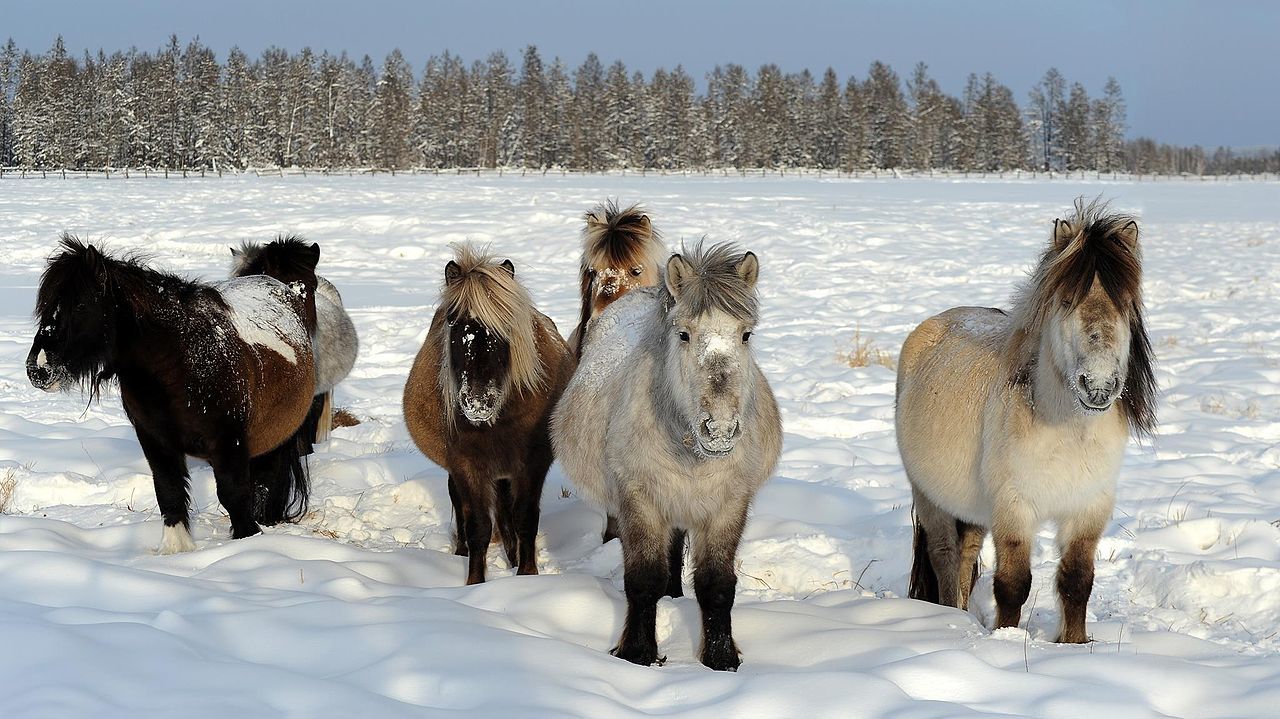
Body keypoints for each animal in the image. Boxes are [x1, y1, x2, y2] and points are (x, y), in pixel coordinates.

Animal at [26, 234, 318, 547]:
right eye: (45, 304)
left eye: (80, 305)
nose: (37, 369)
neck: (181, 363)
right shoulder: (155, 439)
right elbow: (169, 491)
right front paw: (177, 550)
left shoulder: (229, 442)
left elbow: (234, 494)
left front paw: (248, 541)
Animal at [404, 240, 576, 583]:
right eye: (452, 321)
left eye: (506, 326)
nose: (477, 401)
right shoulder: (466, 466)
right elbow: (478, 527)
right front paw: (474, 583)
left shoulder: (531, 463)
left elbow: (524, 519)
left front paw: (526, 573)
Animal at [550, 241, 778, 670]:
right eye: (684, 334)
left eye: (745, 335)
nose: (719, 429)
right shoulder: (640, 501)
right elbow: (643, 581)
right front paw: (638, 653)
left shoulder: (728, 505)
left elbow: (717, 584)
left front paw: (722, 658)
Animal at [896, 198, 1157, 639]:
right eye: (1066, 300)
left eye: (1125, 304)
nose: (1099, 385)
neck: (1067, 432)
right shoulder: (1014, 507)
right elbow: (1013, 585)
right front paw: (1006, 638)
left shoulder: (1089, 508)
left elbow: (1077, 581)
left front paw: (1075, 644)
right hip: (928, 493)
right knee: (944, 553)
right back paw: (952, 616)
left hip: (972, 506)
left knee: (966, 552)